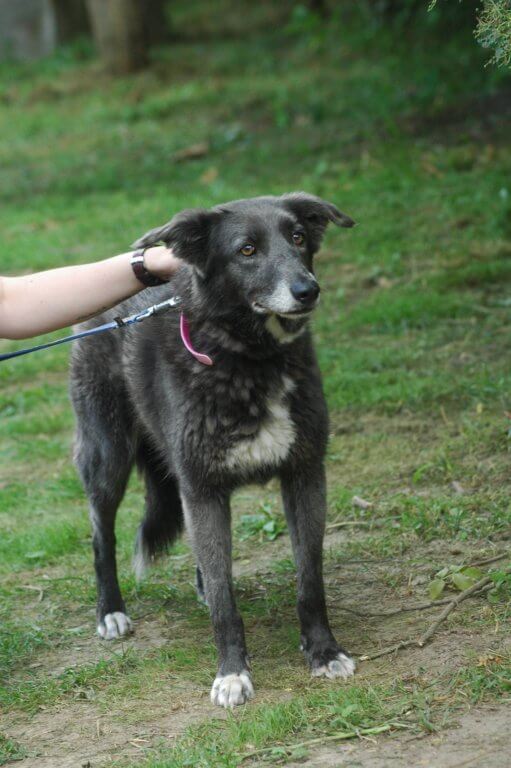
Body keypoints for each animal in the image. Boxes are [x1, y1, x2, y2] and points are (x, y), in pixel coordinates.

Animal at [70, 192, 355, 707]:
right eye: (247, 250)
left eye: (298, 238)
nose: (308, 290)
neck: (250, 359)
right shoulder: (202, 488)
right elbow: (226, 601)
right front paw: (232, 673)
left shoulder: (304, 475)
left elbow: (310, 579)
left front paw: (324, 651)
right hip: (108, 456)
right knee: (102, 535)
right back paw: (111, 611)